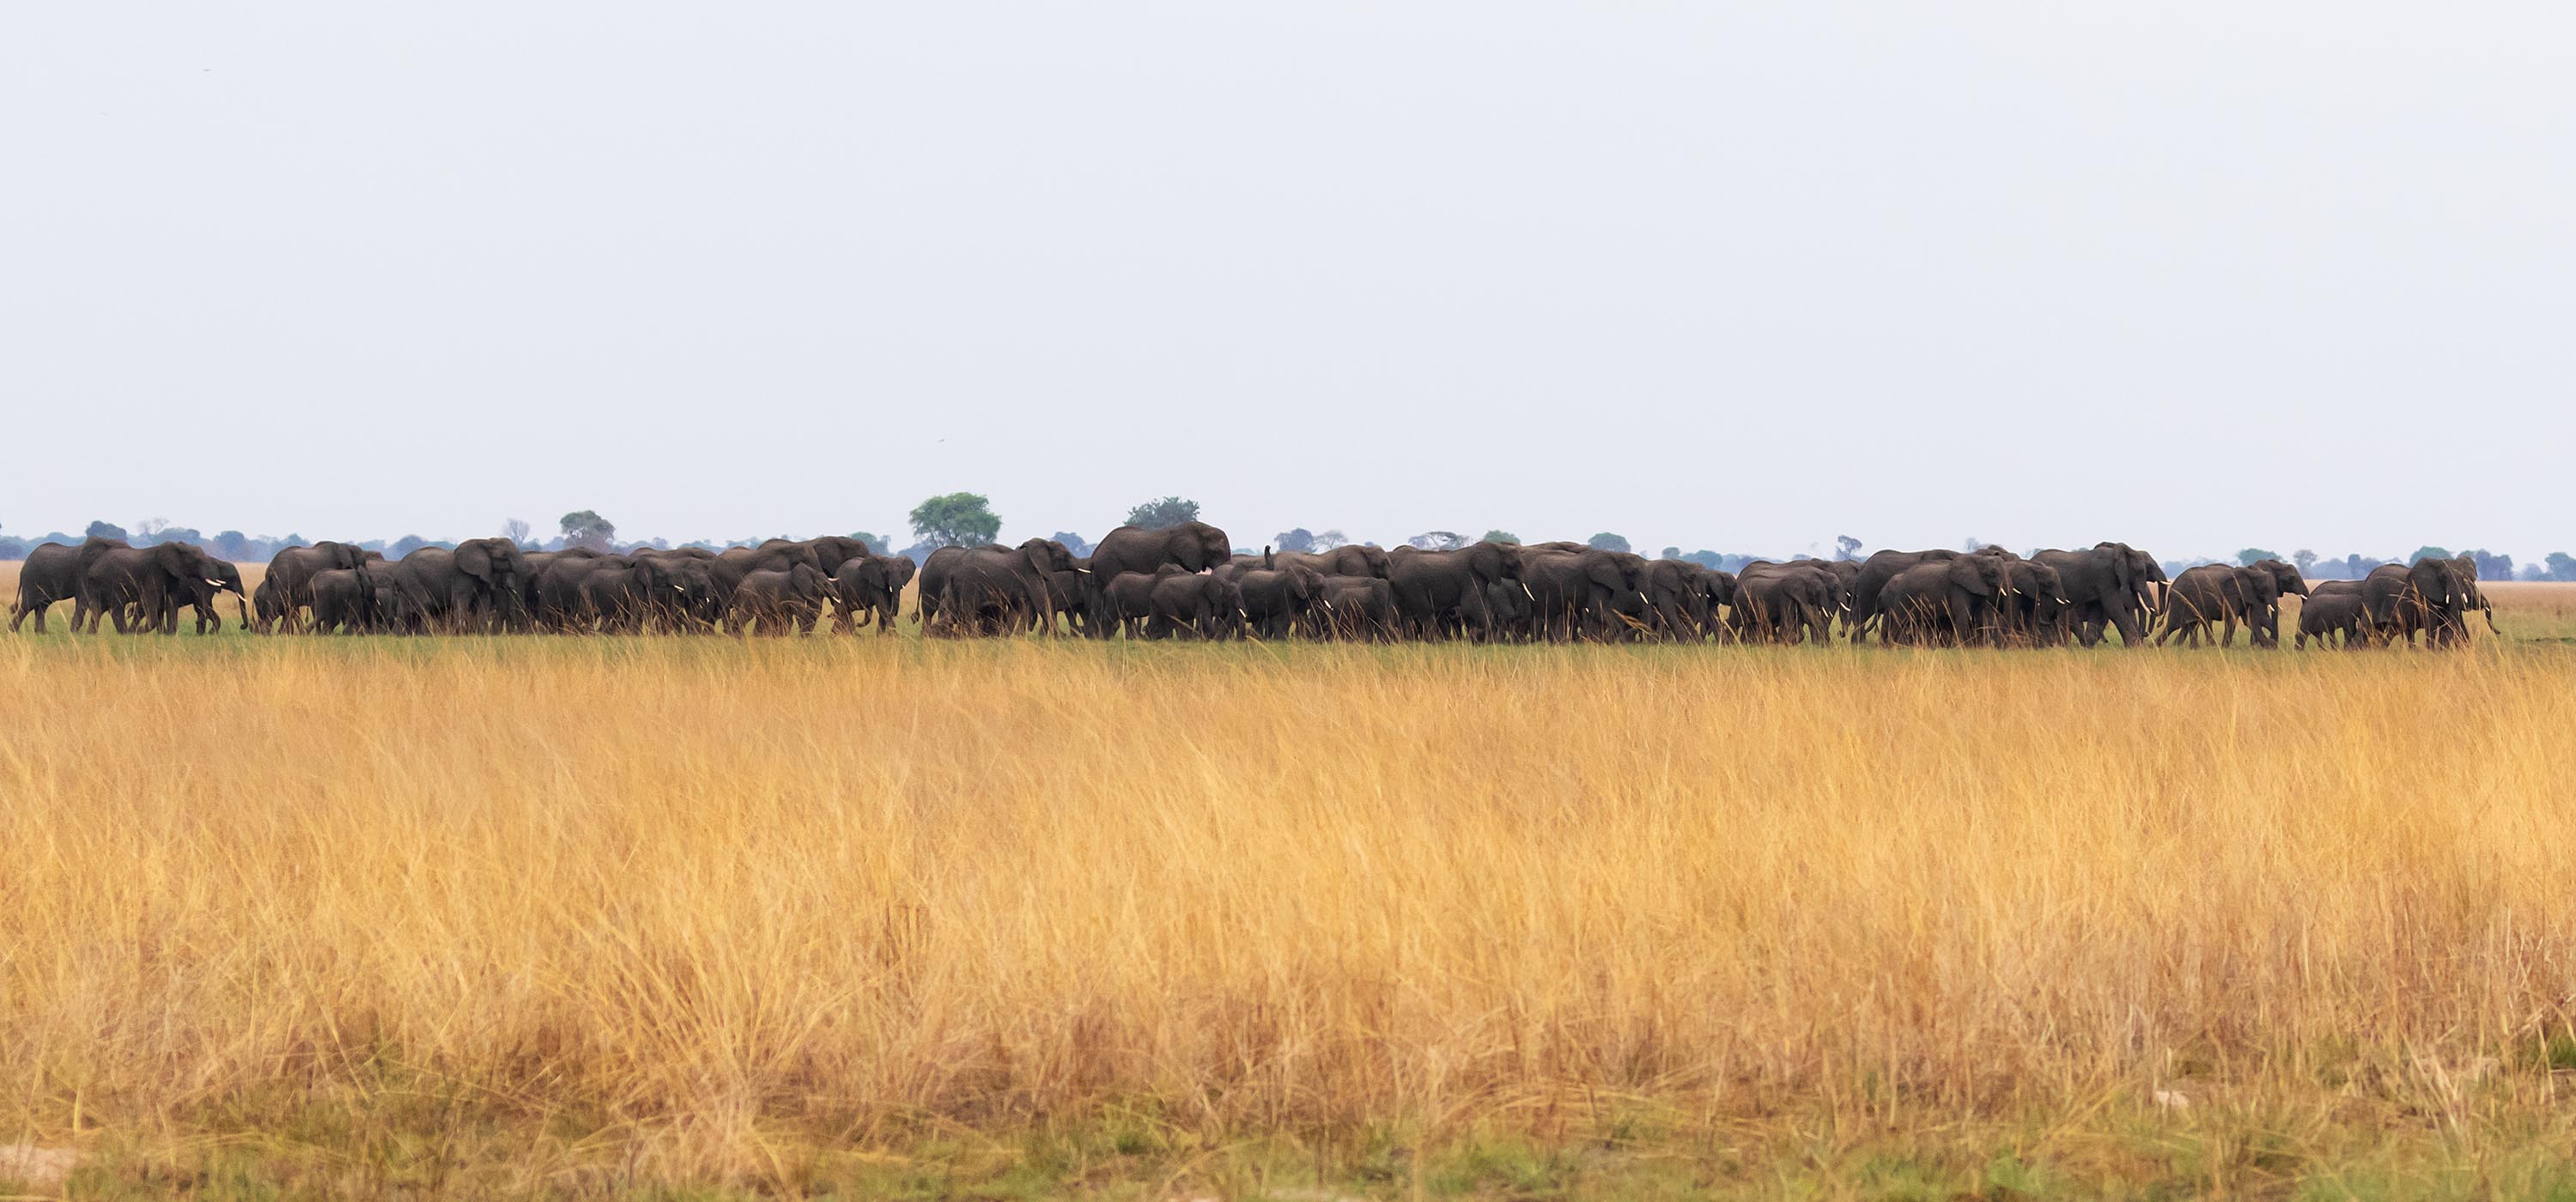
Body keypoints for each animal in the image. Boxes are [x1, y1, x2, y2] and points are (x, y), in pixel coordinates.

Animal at [1386, 541, 1526, 641]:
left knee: (1395, 611)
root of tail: (1394, 573)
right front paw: (1476, 637)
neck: (1497, 546)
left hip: (1399, 589)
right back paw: (1434, 642)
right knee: (1426, 612)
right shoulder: (1470, 576)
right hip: (1414, 587)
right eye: (1515, 564)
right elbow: (1470, 606)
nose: (1520, 584)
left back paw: (1395, 640)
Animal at [2032, 543, 2164, 647]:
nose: (2146, 633)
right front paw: (2134, 646)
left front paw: (2089, 645)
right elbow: (2113, 608)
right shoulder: (2105, 578)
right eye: (2141, 572)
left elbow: (2098, 609)